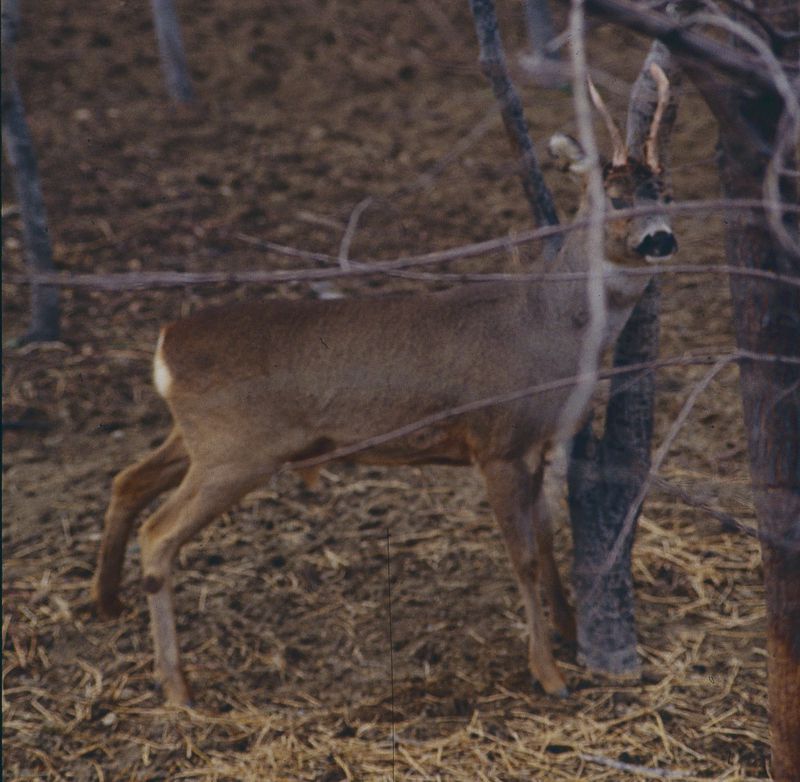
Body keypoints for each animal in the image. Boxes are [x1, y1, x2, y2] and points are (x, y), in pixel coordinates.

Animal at [94, 67, 680, 708]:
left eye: (667, 193)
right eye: (613, 197)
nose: (660, 240)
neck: (547, 327)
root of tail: (165, 344)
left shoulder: (537, 443)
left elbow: (549, 537)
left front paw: (571, 634)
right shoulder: (495, 441)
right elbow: (522, 556)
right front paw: (548, 674)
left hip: (200, 438)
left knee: (128, 480)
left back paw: (106, 601)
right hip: (236, 450)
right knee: (159, 532)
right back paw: (176, 685)